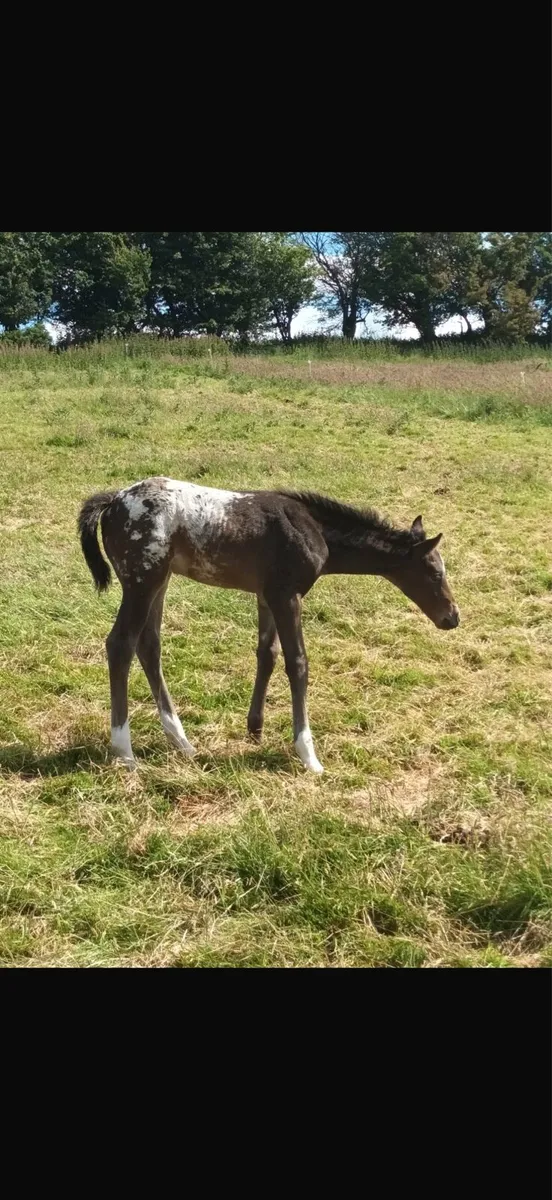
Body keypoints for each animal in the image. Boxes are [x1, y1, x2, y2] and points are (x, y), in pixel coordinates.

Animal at [78, 476, 459, 774]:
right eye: (435, 572)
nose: (452, 617)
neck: (314, 530)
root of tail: (112, 502)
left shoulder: (266, 595)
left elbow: (268, 653)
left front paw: (255, 728)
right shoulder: (287, 596)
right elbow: (298, 663)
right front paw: (308, 754)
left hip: (160, 581)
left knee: (149, 645)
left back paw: (182, 742)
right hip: (142, 581)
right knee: (121, 644)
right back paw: (125, 752)